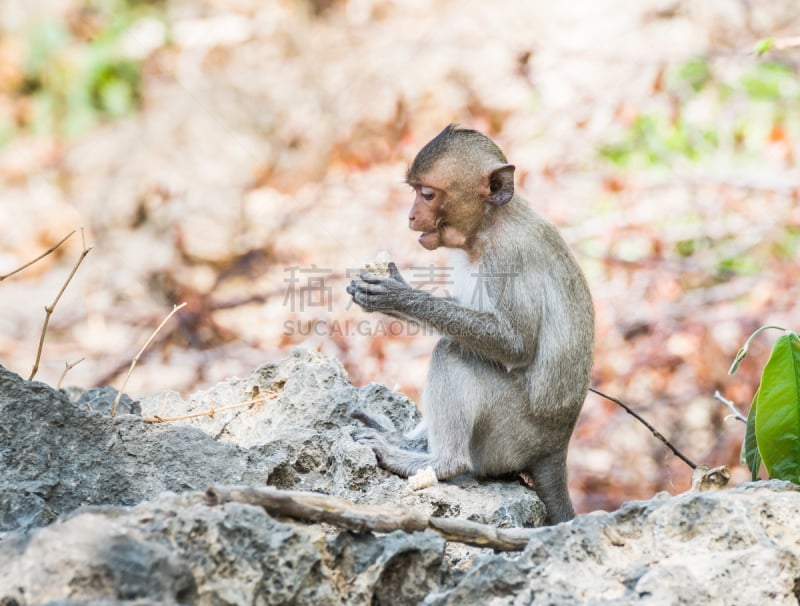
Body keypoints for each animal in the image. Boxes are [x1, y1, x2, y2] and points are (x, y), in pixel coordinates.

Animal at [344, 126, 592, 524]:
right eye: (414, 191)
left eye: (427, 194)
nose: (411, 216)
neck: (488, 226)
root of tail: (556, 448)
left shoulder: (507, 257)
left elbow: (514, 343)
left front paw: (397, 296)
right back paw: (407, 442)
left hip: (511, 435)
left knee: (454, 351)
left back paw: (438, 463)